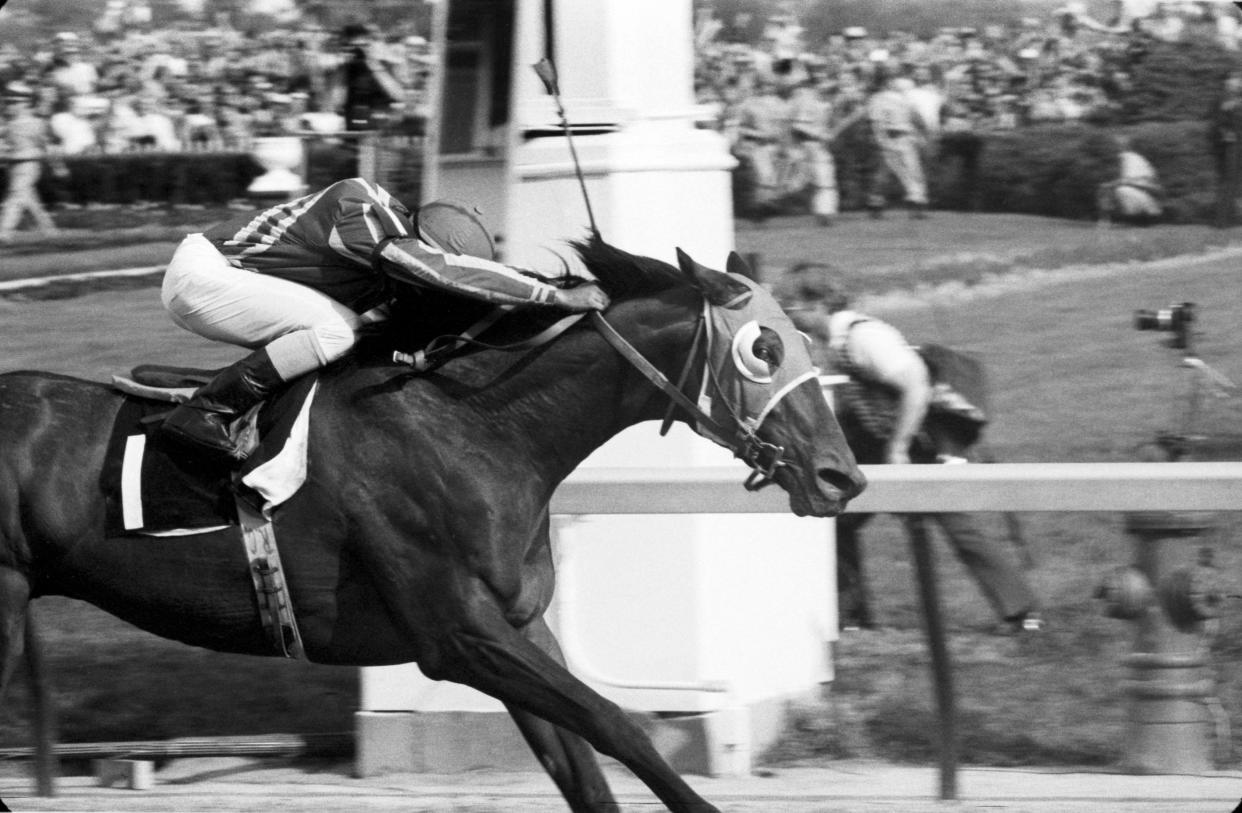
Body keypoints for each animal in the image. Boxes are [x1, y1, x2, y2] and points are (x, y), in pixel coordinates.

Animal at [0, 238, 864, 809]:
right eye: (763, 347)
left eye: (807, 336)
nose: (842, 476)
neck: (478, 428)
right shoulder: (456, 634)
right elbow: (618, 722)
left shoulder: (517, 626)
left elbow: (585, 768)